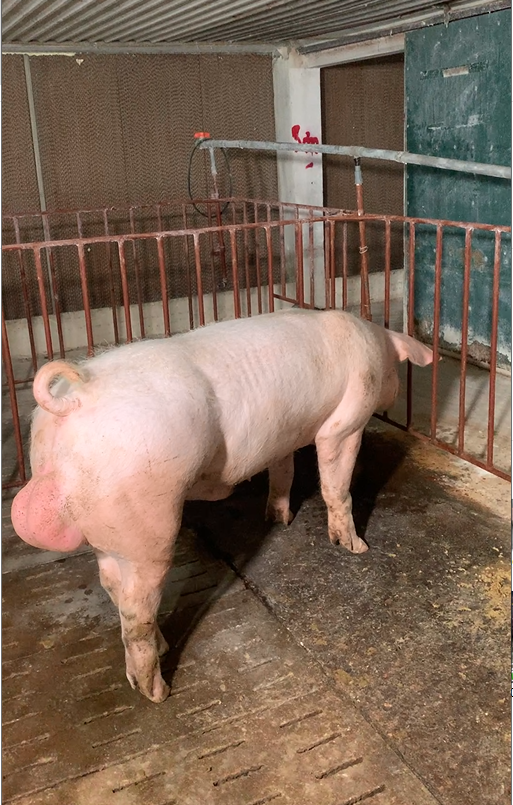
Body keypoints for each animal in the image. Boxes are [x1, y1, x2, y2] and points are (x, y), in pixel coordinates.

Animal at [11, 308, 433, 703]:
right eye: (396, 371)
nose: (395, 392)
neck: (374, 342)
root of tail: (74, 398)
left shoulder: (281, 434)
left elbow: (284, 470)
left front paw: (280, 518)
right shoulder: (345, 421)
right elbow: (336, 481)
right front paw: (356, 547)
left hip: (108, 528)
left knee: (112, 586)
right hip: (145, 518)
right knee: (136, 611)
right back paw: (158, 691)